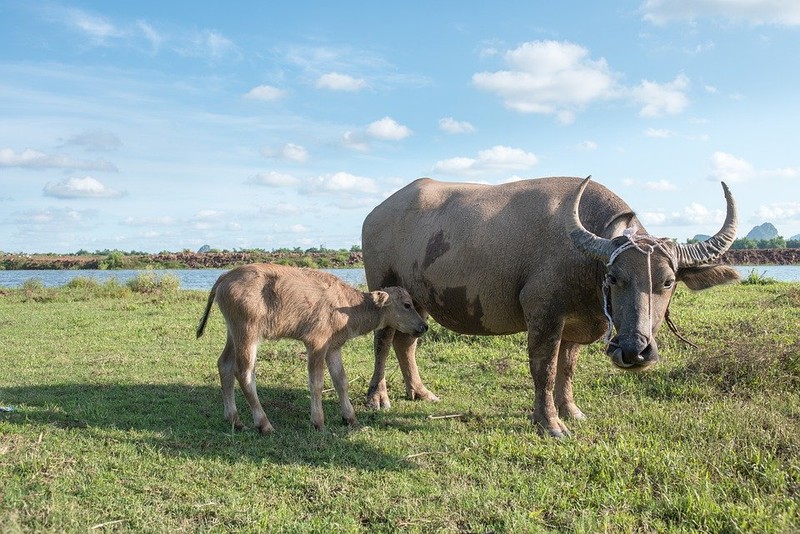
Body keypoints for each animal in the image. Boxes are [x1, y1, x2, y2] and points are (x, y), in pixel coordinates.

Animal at [197, 264, 428, 436]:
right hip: (248, 333)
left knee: (224, 364)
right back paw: (264, 424)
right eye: (407, 305)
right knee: (244, 373)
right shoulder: (316, 344)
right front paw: (318, 422)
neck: (345, 305)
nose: (424, 326)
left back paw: (234, 420)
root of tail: (226, 276)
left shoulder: (334, 347)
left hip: (233, 332)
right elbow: (316, 383)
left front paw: (350, 418)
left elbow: (341, 381)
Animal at [362, 178, 736, 438]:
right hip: (385, 287)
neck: (584, 261)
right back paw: (377, 397)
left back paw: (420, 392)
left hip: (418, 301)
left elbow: (567, 369)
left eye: (668, 282)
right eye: (614, 278)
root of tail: (375, 214)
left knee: (406, 342)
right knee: (383, 342)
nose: (634, 350)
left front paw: (570, 410)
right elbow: (545, 369)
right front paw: (550, 423)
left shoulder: (575, 324)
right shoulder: (543, 315)